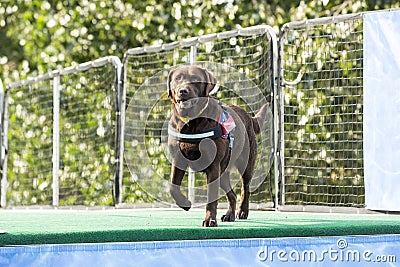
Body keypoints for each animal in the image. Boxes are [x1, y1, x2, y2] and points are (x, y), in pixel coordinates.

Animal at [167, 65, 268, 228]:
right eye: (178, 78)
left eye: (196, 79)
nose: (183, 91)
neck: (191, 122)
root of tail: (249, 116)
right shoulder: (178, 160)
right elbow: (173, 187)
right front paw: (185, 203)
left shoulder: (213, 166)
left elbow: (211, 196)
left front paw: (209, 220)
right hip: (223, 172)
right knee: (232, 194)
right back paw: (229, 215)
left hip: (245, 164)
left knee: (245, 188)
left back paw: (242, 211)